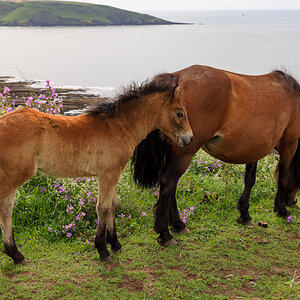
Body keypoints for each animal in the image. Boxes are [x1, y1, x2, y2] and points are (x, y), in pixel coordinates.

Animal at [0, 74, 193, 264]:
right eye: (179, 113)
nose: (189, 139)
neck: (120, 127)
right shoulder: (108, 174)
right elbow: (103, 208)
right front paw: (103, 250)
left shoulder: (112, 174)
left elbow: (113, 205)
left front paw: (115, 243)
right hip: (13, 177)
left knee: (6, 210)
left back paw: (16, 255)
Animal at [132, 65, 300, 246]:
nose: (293, 202)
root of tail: (177, 77)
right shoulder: (289, 144)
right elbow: (283, 178)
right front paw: (281, 210)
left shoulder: (255, 149)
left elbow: (249, 180)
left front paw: (245, 215)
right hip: (184, 152)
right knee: (168, 182)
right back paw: (165, 233)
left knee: (171, 185)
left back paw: (178, 224)